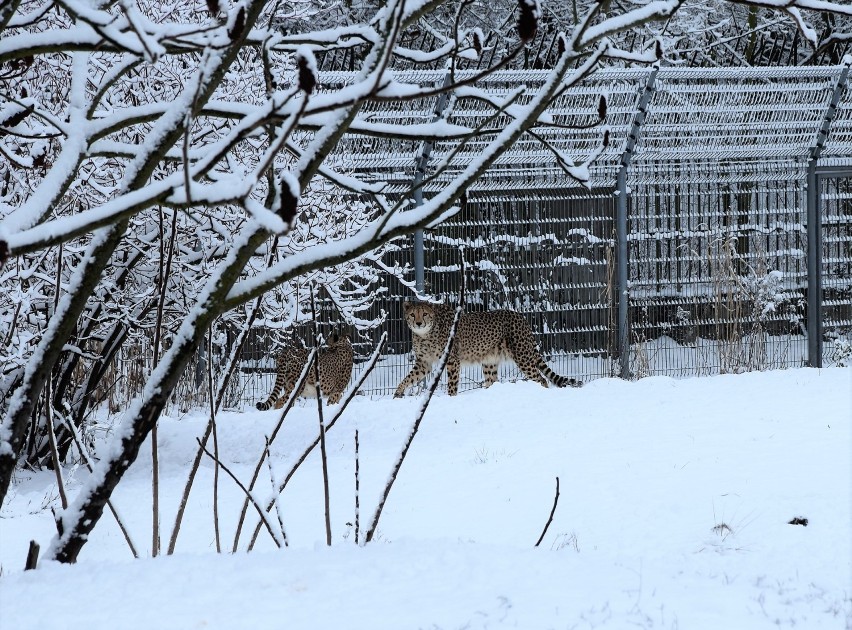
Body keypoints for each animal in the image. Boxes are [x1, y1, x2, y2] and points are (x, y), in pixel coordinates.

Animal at [396, 298, 584, 398]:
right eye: (412, 314)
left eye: (424, 314)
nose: (418, 323)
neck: (425, 334)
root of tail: (520, 316)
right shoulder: (424, 363)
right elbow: (408, 378)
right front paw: (397, 393)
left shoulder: (451, 360)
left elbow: (452, 384)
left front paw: (451, 398)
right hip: (490, 362)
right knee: (492, 381)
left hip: (523, 358)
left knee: (541, 379)